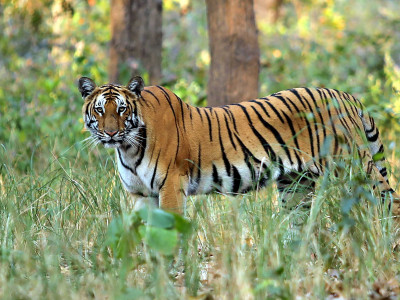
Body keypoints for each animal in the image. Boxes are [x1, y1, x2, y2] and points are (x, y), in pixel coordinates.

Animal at [77, 75, 400, 216]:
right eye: (99, 110)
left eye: (121, 109)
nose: (110, 133)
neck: (128, 148)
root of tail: (345, 96)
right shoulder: (140, 194)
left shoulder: (171, 186)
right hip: (296, 185)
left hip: (356, 168)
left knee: (388, 201)